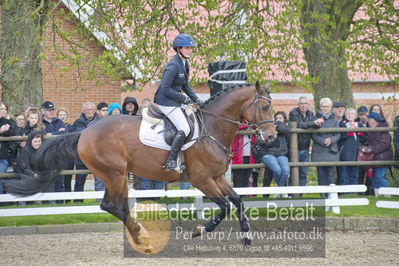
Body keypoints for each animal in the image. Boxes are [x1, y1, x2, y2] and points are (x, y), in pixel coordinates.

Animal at [6, 81, 276, 249]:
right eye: (264, 106)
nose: (272, 137)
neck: (211, 127)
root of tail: (85, 133)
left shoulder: (218, 178)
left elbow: (238, 202)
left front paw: (247, 236)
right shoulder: (202, 180)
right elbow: (224, 207)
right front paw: (200, 230)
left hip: (120, 176)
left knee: (119, 207)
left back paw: (139, 235)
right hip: (114, 174)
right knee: (110, 205)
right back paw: (141, 235)